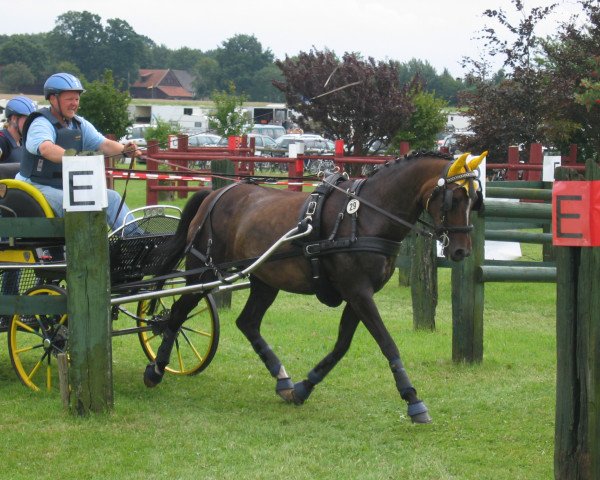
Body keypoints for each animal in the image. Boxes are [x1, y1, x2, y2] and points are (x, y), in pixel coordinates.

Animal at [143, 151, 486, 424]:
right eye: (455, 198)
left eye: (475, 200)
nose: (461, 251)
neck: (365, 215)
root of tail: (217, 193)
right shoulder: (358, 292)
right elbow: (387, 343)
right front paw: (413, 400)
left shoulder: (357, 296)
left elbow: (341, 346)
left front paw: (303, 388)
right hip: (203, 273)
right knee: (176, 314)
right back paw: (156, 369)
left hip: (265, 280)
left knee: (247, 322)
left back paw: (282, 380)